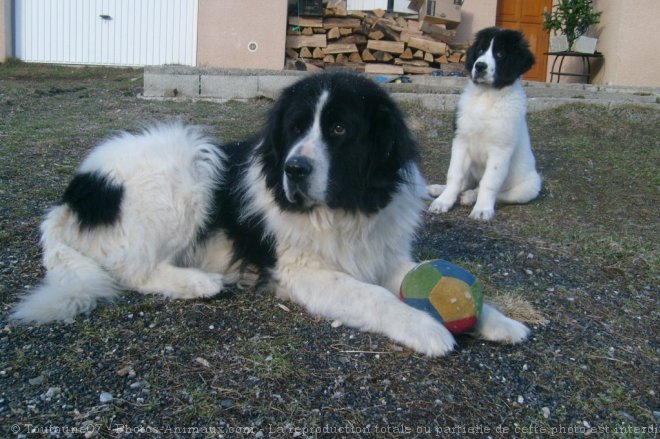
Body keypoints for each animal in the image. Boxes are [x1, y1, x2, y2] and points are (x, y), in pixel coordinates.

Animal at [10, 70, 528, 356]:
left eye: (339, 129)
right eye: (296, 128)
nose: (294, 168)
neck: (343, 209)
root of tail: (74, 193)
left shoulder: (382, 252)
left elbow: (422, 276)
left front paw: (497, 320)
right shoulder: (303, 271)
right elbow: (374, 296)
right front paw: (426, 327)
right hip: (186, 167)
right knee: (133, 269)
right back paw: (200, 282)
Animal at [428, 27, 540, 220]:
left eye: (500, 54)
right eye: (480, 50)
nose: (479, 66)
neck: (487, 97)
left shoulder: (500, 150)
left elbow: (489, 182)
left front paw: (482, 209)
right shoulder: (461, 141)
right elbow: (454, 175)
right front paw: (443, 201)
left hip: (530, 186)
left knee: (496, 192)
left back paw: (470, 197)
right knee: (466, 183)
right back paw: (438, 189)